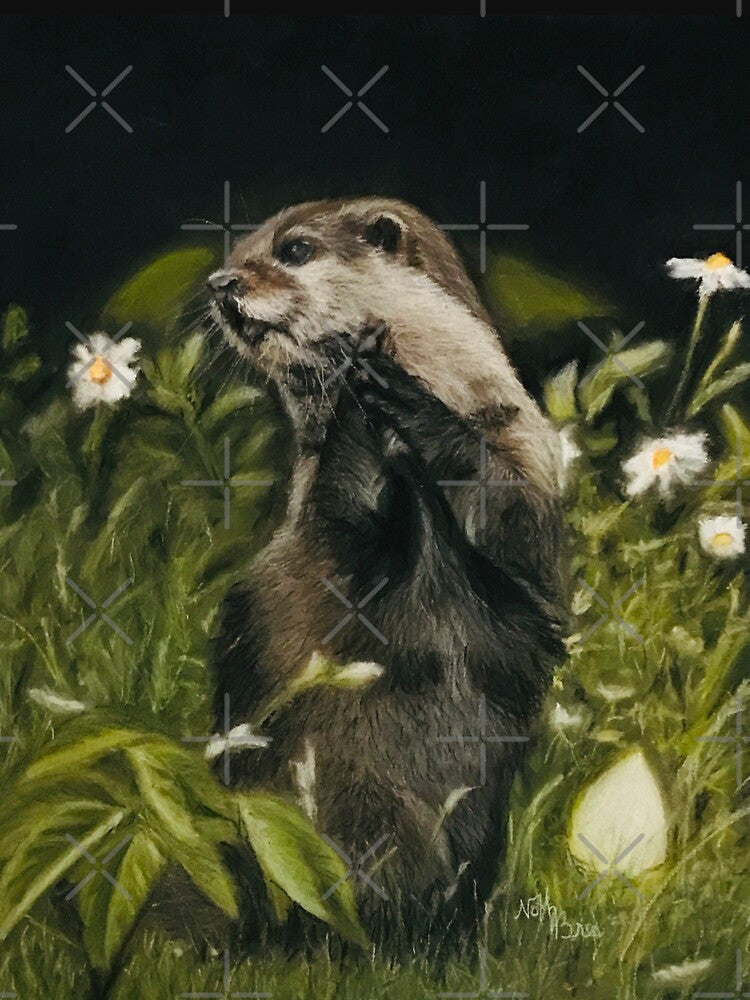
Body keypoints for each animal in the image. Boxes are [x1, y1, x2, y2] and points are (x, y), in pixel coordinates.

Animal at [207, 197, 566, 950]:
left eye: (294, 248)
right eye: (241, 244)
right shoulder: (320, 499)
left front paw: (400, 393)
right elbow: (340, 520)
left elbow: (507, 513)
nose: (222, 285)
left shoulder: (520, 443)